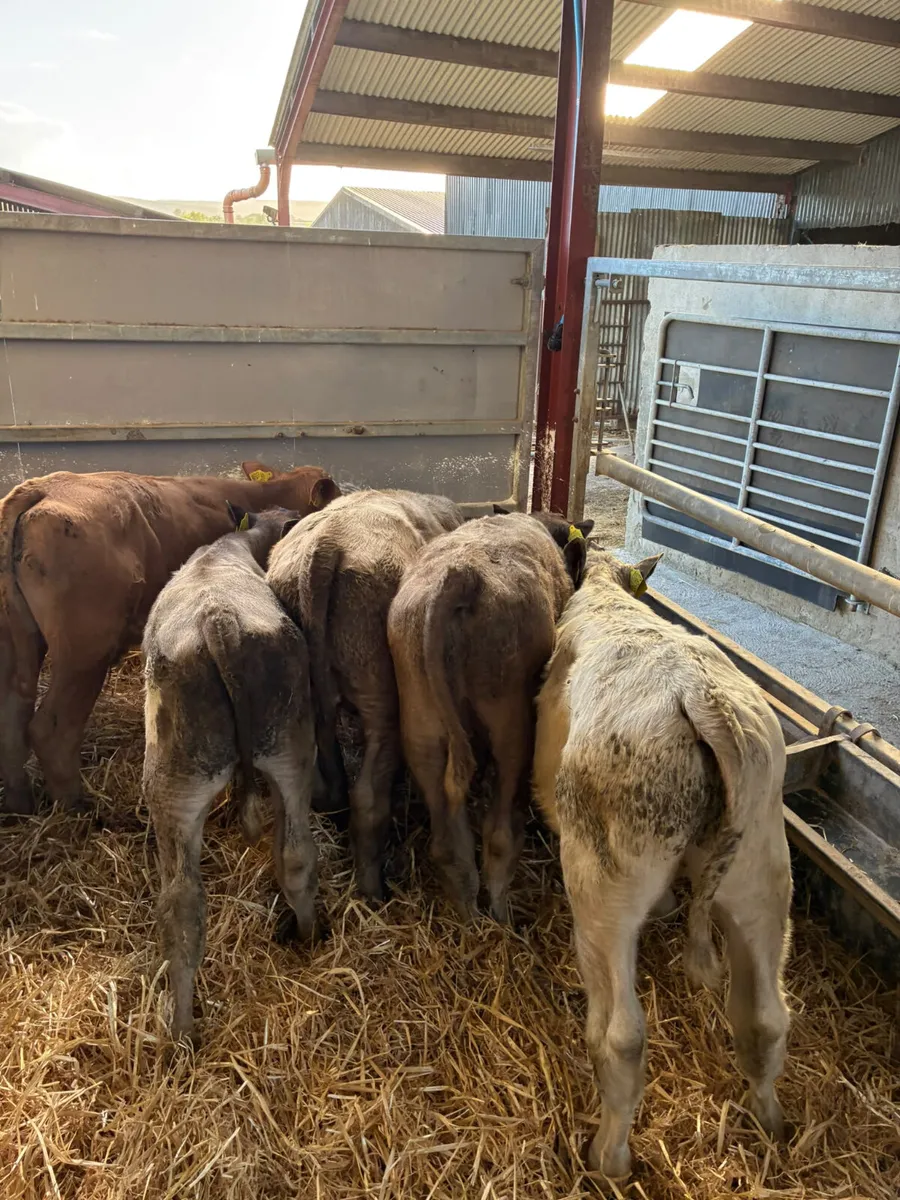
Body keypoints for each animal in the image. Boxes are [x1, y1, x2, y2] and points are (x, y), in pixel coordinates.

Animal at [0, 460, 338, 817]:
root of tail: (42, 487)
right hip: (84, 654)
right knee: (52, 730)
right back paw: (77, 809)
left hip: (15, 644)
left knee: (12, 719)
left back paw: (20, 805)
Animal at [143, 504, 318, 1042]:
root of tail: (217, 620)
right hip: (290, 748)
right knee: (296, 857)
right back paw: (307, 939)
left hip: (171, 778)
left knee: (179, 906)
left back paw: (179, 1032)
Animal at [387, 509, 593, 922]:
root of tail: (462, 576)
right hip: (510, 725)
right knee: (499, 832)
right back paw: (499, 911)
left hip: (421, 724)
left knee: (446, 836)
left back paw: (467, 911)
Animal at [532, 547, 792, 1181]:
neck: (609, 594)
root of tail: (704, 702)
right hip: (763, 871)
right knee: (767, 1018)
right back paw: (769, 1121)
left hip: (602, 884)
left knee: (621, 1037)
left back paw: (608, 1157)